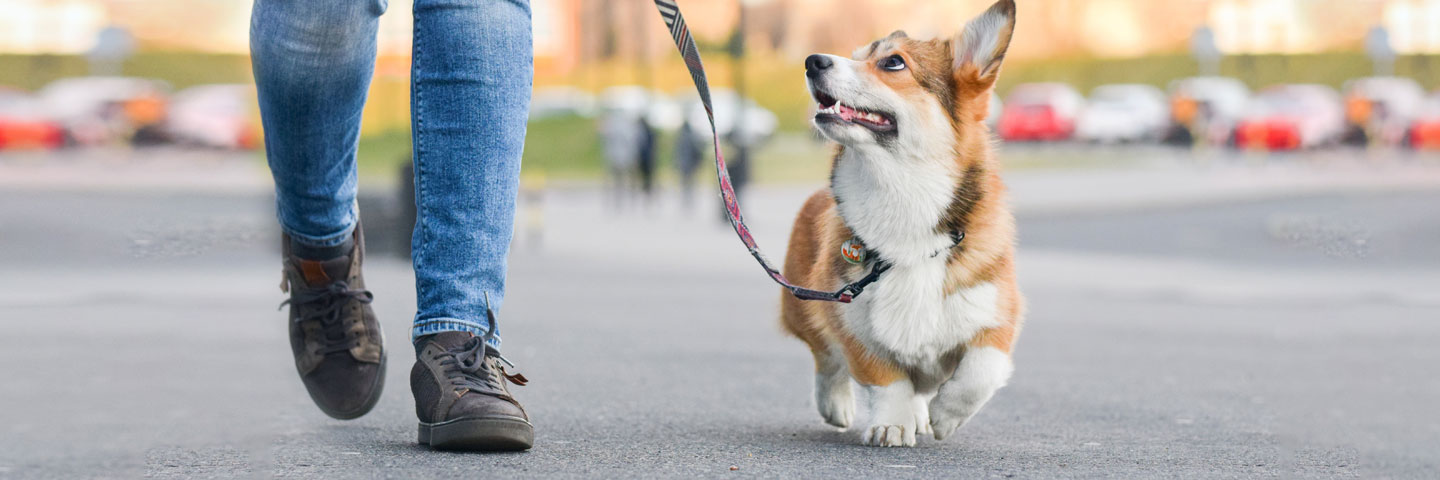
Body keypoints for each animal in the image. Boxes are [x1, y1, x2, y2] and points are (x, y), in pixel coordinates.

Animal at [783, 0, 1031, 446]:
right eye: (856, 54)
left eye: (893, 62)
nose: (812, 61)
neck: (903, 195)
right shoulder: (850, 318)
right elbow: (886, 379)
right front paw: (892, 424)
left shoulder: (998, 313)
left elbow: (981, 371)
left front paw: (946, 416)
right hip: (803, 303)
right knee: (826, 359)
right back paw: (837, 404)